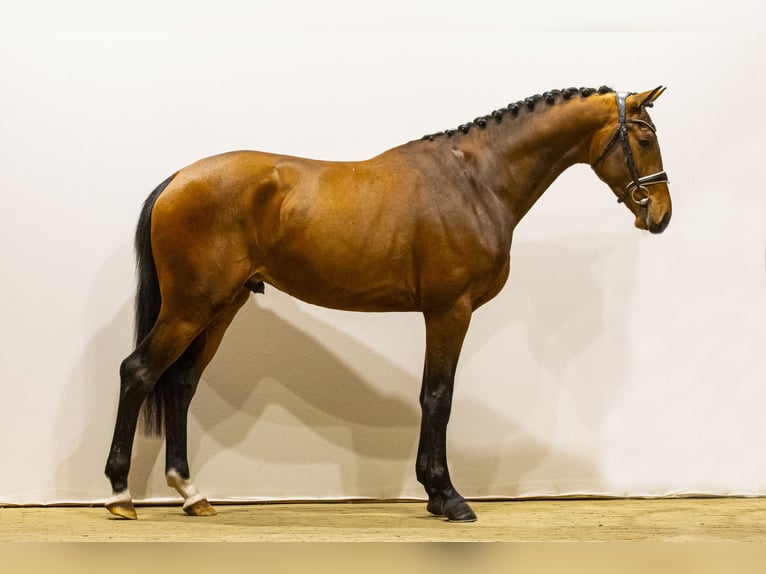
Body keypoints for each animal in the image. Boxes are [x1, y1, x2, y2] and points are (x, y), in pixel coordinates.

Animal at [106, 86, 672, 528]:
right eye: (645, 139)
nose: (661, 215)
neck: (476, 180)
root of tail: (179, 178)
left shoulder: (444, 312)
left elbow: (433, 396)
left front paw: (436, 495)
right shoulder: (450, 310)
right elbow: (438, 397)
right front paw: (447, 497)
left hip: (222, 306)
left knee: (181, 384)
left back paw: (191, 494)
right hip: (189, 307)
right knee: (138, 371)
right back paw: (119, 495)